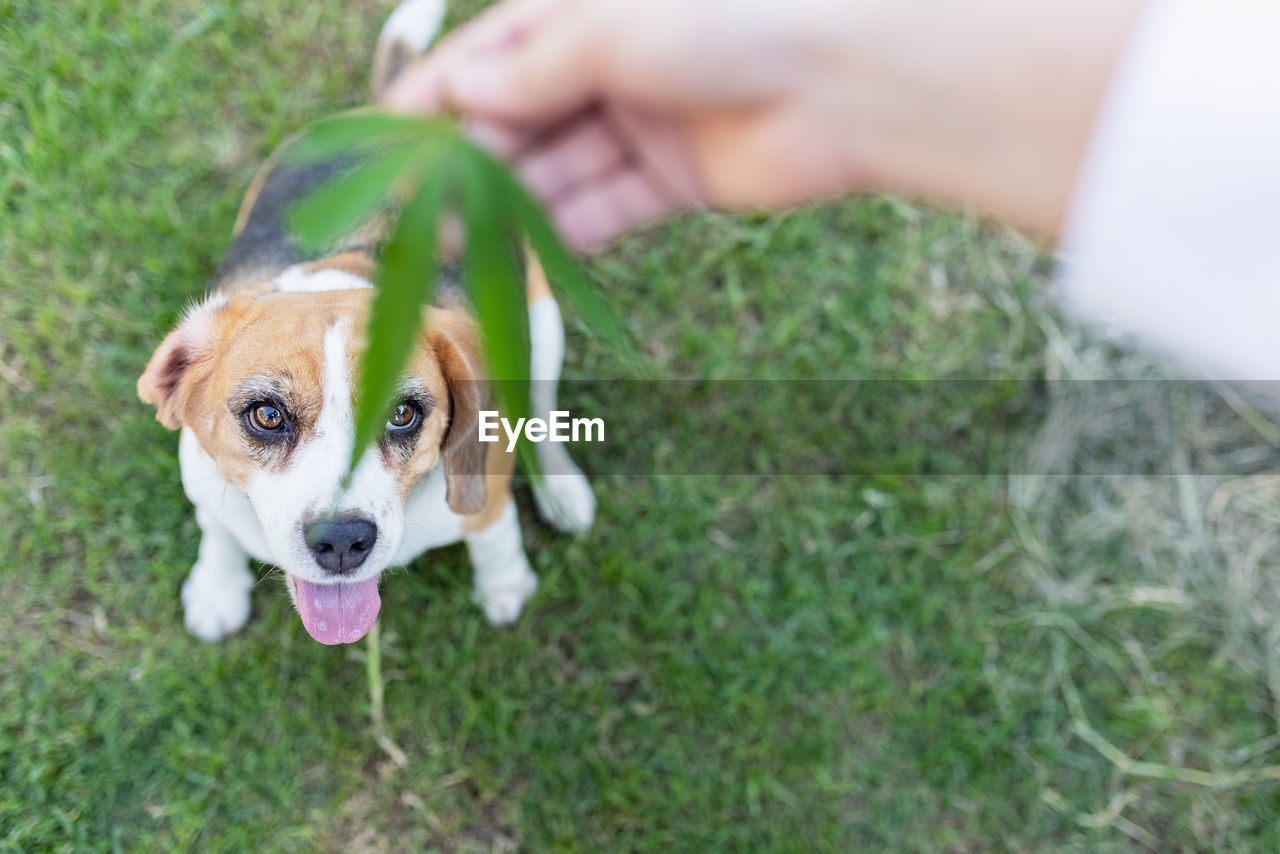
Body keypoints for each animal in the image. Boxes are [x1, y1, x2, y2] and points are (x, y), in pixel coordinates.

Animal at [137, 0, 596, 645]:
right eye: (266, 415)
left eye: (403, 413)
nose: (341, 541)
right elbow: (218, 531)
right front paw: (216, 587)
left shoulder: (485, 492)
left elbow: (495, 537)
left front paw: (505, 586)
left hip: (540, 319)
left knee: (543, 407)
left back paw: (561, 487)